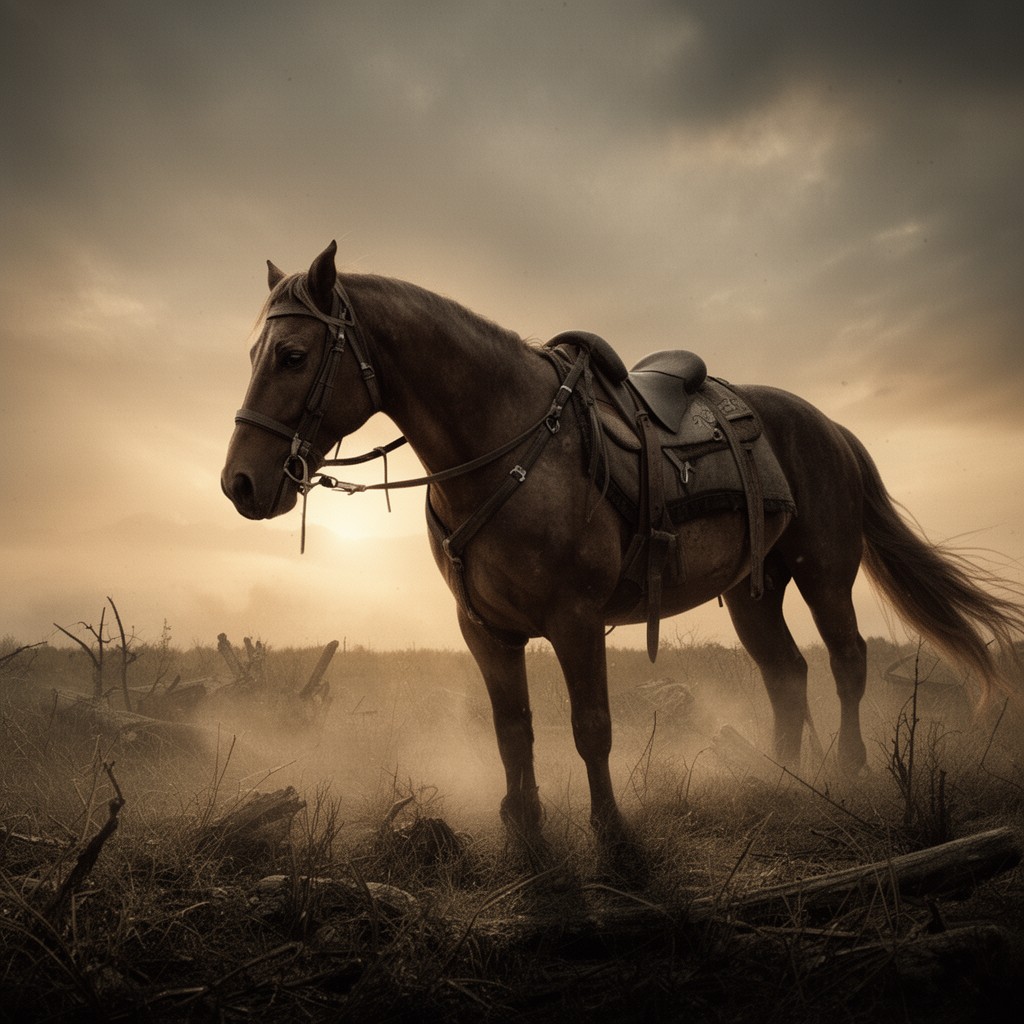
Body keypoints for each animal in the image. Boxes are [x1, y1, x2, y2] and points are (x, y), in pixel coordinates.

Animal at [222, 240, 1023, 859]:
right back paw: (780, 779)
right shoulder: (485, 630)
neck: (508, 442)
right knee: (787, 675)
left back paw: (850, 771)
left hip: (824, 573)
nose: (240, 483)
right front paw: (527, 833)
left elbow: (591, 729)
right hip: (755, 589)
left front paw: (612, 836)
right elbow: (513, 733)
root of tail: (829, 427)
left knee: (847, 661)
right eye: (254, 352)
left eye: (292, 354)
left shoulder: (576, 621)